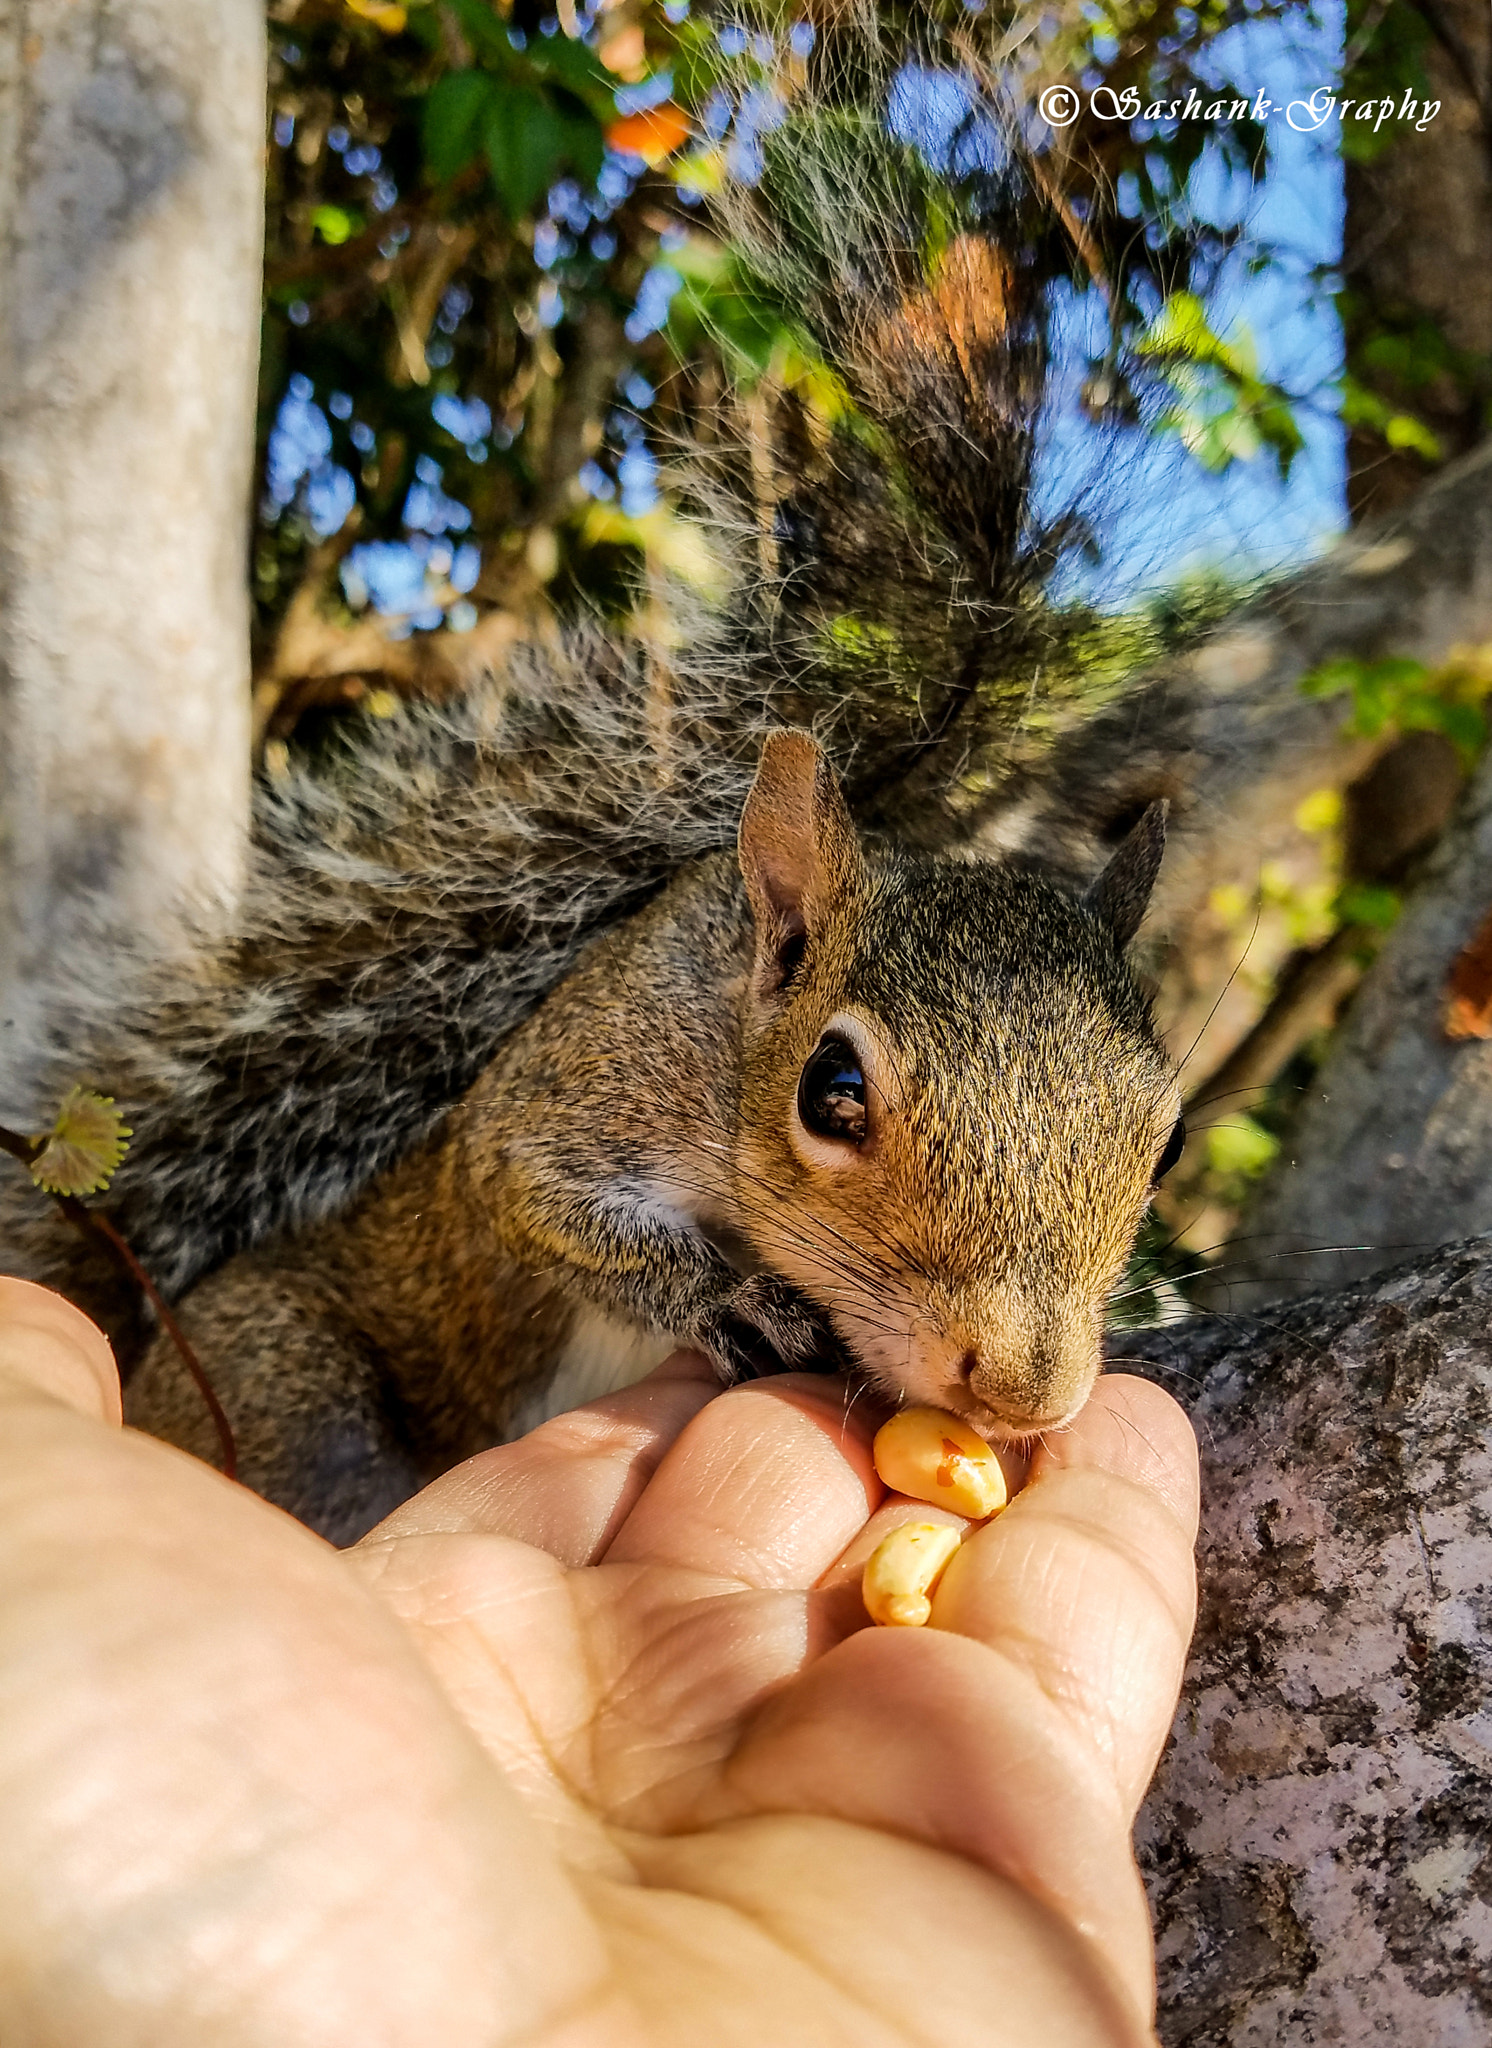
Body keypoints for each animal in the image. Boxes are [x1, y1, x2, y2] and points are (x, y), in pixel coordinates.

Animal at [0, 68, 1187, 1540]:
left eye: (1169, 1143)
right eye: (832, 1091)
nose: (1025, 1391)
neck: (728, 1033)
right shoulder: (577, 1089)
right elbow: (538, 1197)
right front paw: (730, 1294)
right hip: (275, 1373)